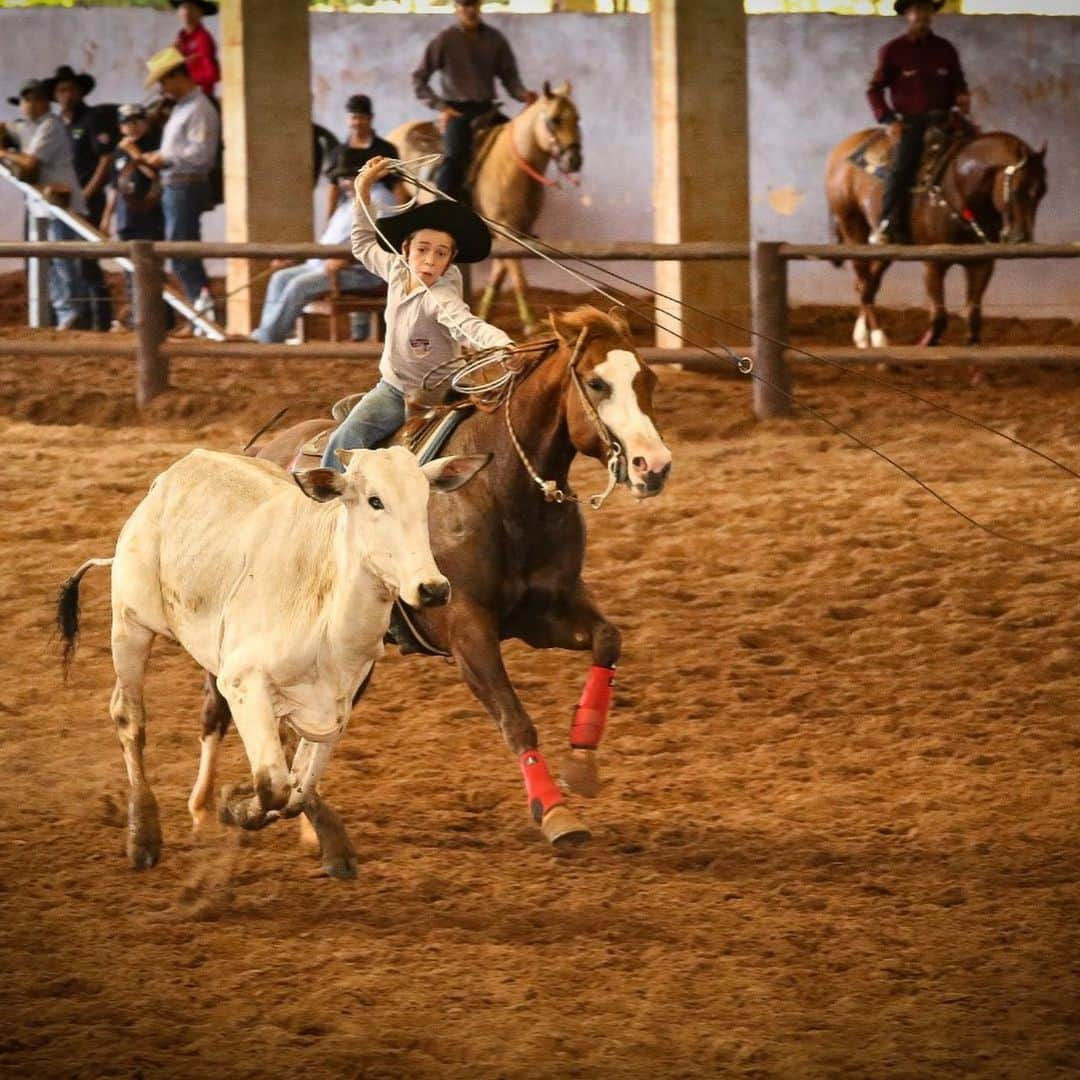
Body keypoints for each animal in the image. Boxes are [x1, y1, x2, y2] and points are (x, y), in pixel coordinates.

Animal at [59, 447, 490, 876]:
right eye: (375, 500)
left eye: (425, 500)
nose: (432, 589)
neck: (329, 615)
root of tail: (170, 476)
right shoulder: (243, 681)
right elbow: (273, 785)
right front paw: (234, 806)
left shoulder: (337, 704)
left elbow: (298, 787)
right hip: (129, 623)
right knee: (129, 717)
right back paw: (144, 836)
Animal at [199, 306, 669, 868]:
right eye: (597, 382)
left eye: (648, 379)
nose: (654, 467)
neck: (501, 491)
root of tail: (261, 448)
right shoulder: (466, 630)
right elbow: (515, 718)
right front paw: (556, 814)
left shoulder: (546, 613)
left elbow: (608, 641)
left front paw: (582, 763)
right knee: (224, 708)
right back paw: (216, 810)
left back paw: (312, 828)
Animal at [388, 81, 583, 332]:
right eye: (555, 119)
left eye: (576, 118)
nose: (574, 160)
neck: (511, 166)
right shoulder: (506, 229)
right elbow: (516, 274)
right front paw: (530, 323)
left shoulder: (512, 233)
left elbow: (500, 272)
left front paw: (485, 313)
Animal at [825, 126, 1045, 347]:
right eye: (1017, 190)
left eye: (1042, 192)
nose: (1022, 239)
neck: (960, 189)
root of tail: (844, 147)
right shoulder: (933, 263)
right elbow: (939, 318)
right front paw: (926, 343)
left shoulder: (981, 264)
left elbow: (973, 317)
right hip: (852, 227)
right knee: (863, 283)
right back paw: (874, 338)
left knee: (869, 284)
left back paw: (865, 336)